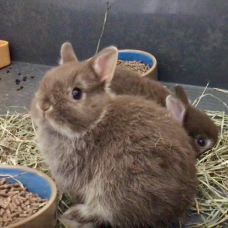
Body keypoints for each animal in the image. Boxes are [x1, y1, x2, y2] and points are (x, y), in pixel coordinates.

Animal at [30, 42, 198, 228]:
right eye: (44, 81)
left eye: (76, 93)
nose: (43, 106)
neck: (95, 121)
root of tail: (180, 203)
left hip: (117, 185)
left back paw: (74, 215)